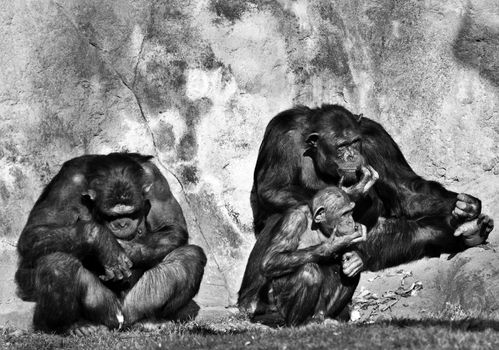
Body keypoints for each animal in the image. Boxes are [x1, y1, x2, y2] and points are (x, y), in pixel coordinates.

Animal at [15, 152, 207, 334]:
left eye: (131, 213)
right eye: (111, 216)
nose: (122, 224)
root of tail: (120, 319)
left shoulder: (156, 180)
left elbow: (172, 227)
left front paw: (127, 249)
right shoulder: (66, 185)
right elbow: (34, 233)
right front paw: (105, 243)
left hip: (136, 304)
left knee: (190, 256)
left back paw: (150, 321)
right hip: (102, 308)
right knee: (56, 263)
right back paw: (74, 326)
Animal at [239, 104, 496, 312]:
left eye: (354, 142)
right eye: (341, 146)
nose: (352, 155)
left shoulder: (375, 137)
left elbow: (405, 189)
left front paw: (466, 206)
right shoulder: (282, 133)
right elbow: (272, 188)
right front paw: (353, 193)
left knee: (418, 231)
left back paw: (471, 230)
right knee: (287, 214)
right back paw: (251, 299)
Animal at [262, 186, 368, 326]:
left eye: (351, 212)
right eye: (344, 214)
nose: (351, 221)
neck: (317, 226)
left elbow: (350, 258)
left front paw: (356, 259)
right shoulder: (293, 220)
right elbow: (271, 259)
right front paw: (332, 245)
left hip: (323, 310)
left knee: (349, 273)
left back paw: (330, 319)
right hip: (283, 310)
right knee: (308, 272)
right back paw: (301, 324)